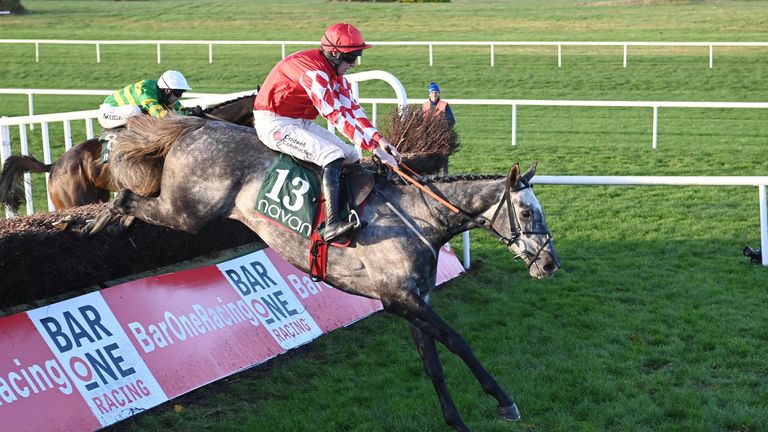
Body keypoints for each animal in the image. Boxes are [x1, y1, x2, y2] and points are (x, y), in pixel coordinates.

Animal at [87, 115, 560, 432]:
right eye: (526, 212)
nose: (550, 263)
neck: (420, 214)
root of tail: (195, 127)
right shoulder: (397, 298)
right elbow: (458, 341)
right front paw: (503, 401)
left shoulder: (414, 300)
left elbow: (434, 365)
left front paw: (457, 422)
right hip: (188, 212)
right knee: (127, 196)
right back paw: (101, 219)